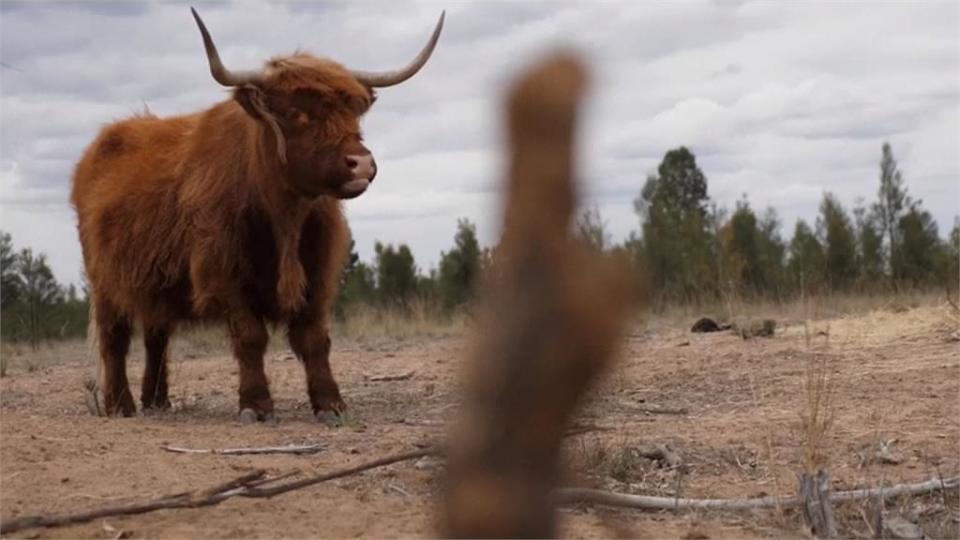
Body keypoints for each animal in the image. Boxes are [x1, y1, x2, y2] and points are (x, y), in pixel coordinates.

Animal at [72, 6, 446, 424]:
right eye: (294, 112)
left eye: (353, 111)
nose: (360, 163)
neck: (285, 216)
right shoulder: (224, 274)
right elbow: (251, 337)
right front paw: (256, 404)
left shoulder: (318, 273)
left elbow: (315, 339)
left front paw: (330, 404)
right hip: (105, 282)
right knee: (115, 339)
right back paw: (120, 404)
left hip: (157, 285)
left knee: (157, 337)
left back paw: (157, 400)